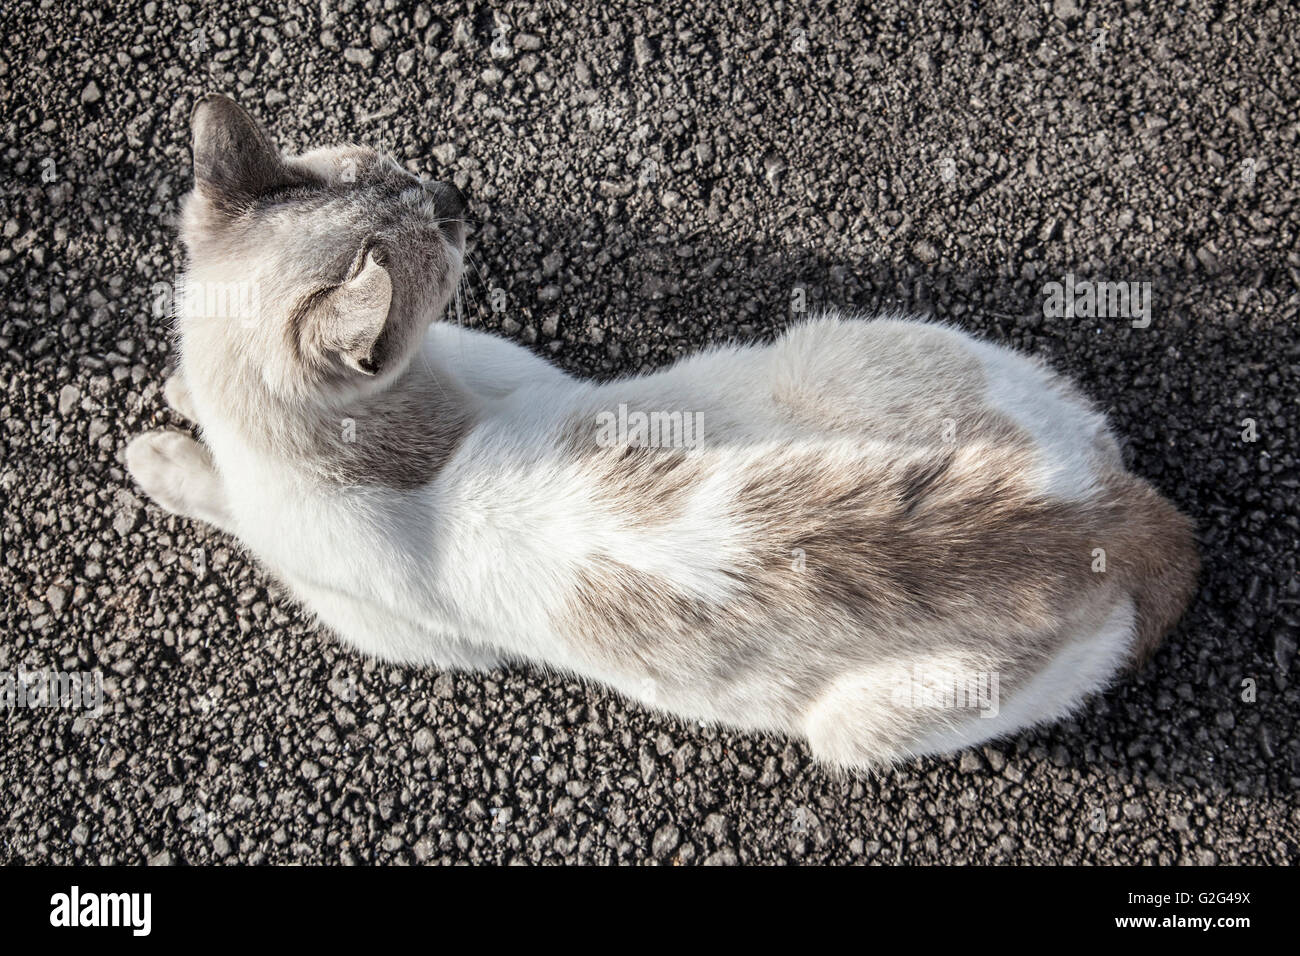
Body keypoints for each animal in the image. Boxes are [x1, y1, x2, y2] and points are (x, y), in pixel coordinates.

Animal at [126, 95, 1201, 770]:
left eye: (417, 186)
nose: (457, 196)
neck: (388, 441)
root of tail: (1111, 527)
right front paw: (182, 393)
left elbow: (221, 492)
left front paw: (166, 447)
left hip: (852, 721)